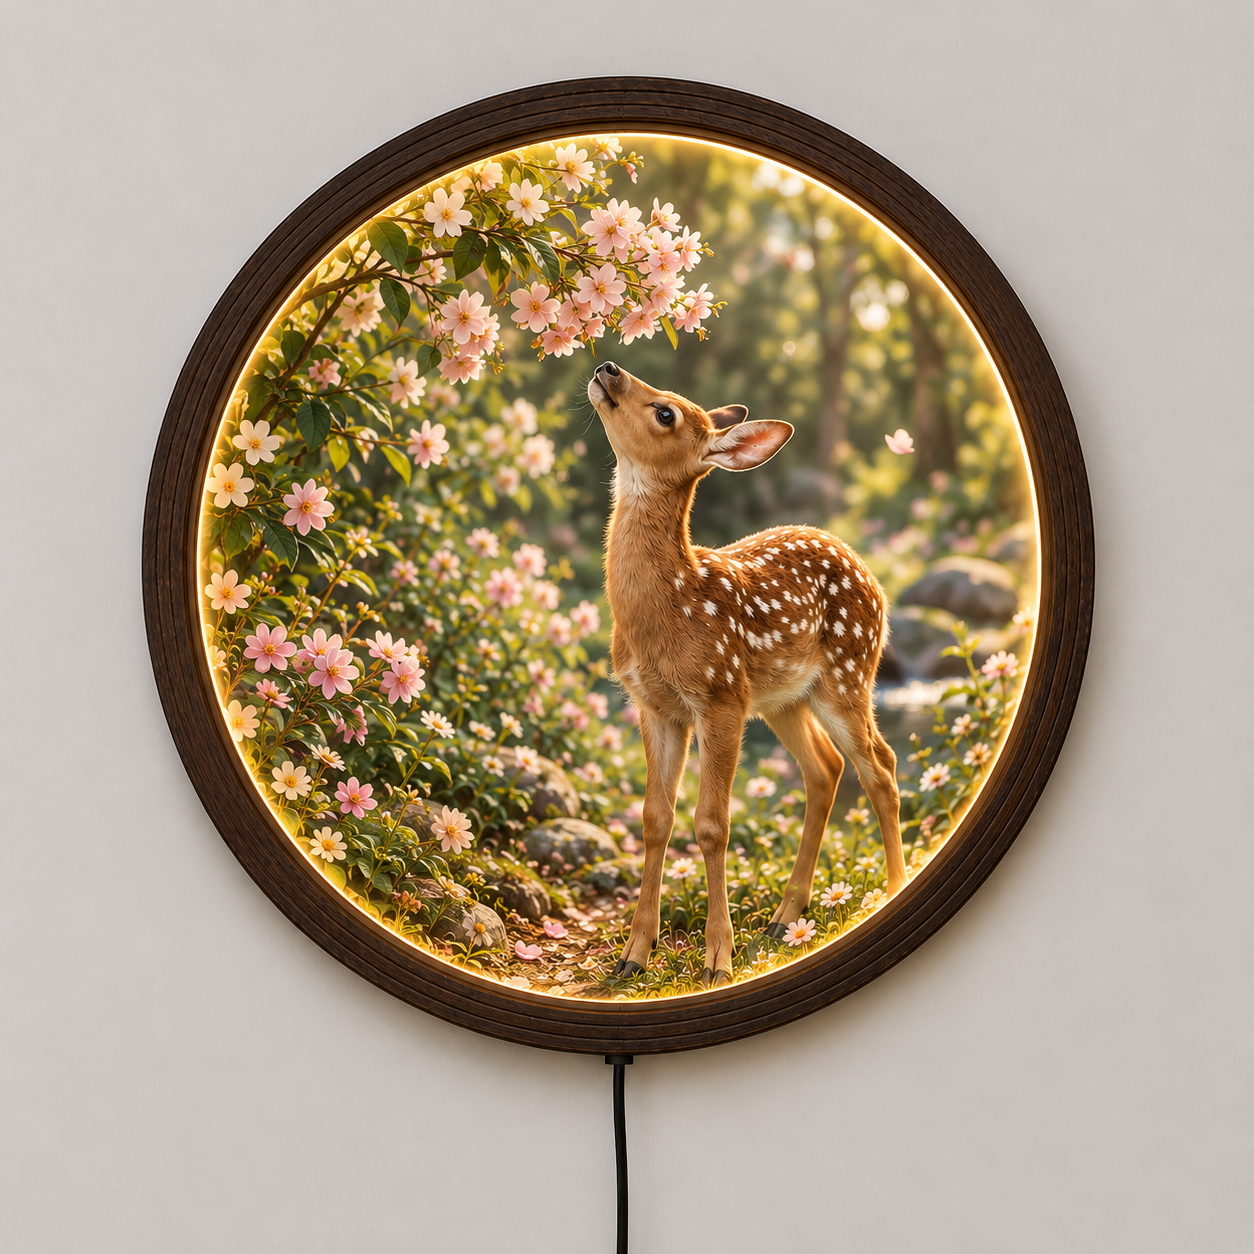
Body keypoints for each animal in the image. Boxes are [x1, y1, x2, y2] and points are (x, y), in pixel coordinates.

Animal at [587, 361, 906, 987]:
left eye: (666, 412)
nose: (609, 367)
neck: (671, 607)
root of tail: (873, 577)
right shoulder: (654, 704)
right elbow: (655, 818)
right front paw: (633, 955)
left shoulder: (720, 695)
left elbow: (712, 824)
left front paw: (718, 959)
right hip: (785, 698)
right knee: (825, 769)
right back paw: (785, 917)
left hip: (848, 674)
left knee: (880, 766)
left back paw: (894, 888)